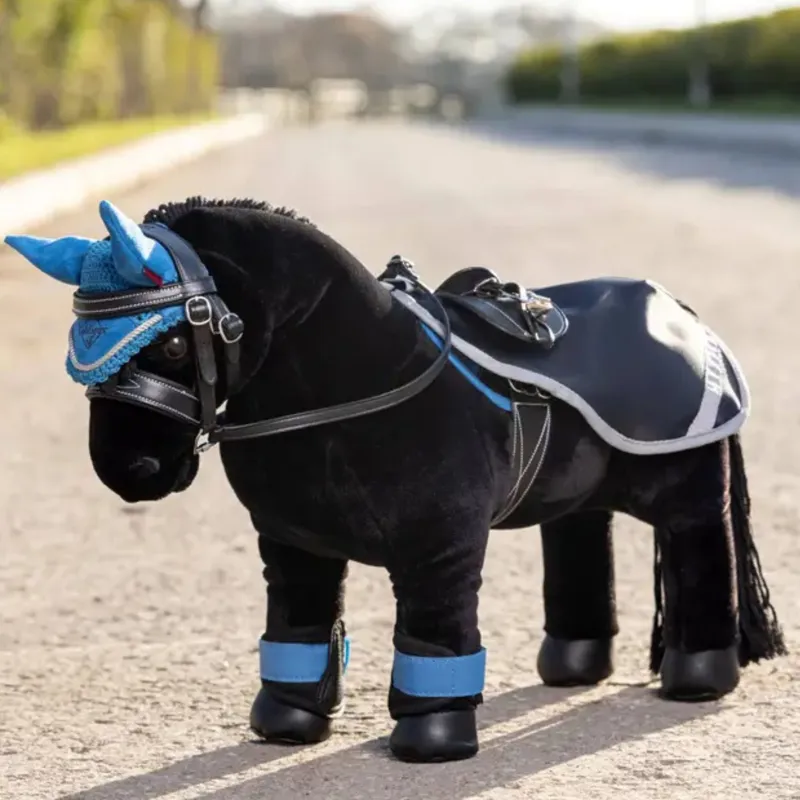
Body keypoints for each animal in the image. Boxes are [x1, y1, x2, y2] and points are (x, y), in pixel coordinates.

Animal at [4, 196, 785, 764]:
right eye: (80, 352)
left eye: (169, 342)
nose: (125, 470)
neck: (358, 385)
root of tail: (687, 314)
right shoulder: (294, 545)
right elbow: (298, 630)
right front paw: (288, 723)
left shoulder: (440, 550)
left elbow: (435, 638)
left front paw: (433, 739)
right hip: (576, 497)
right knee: (578, 539)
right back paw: (572, 664)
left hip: (685, 488)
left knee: (701, 544)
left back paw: (698, 676)